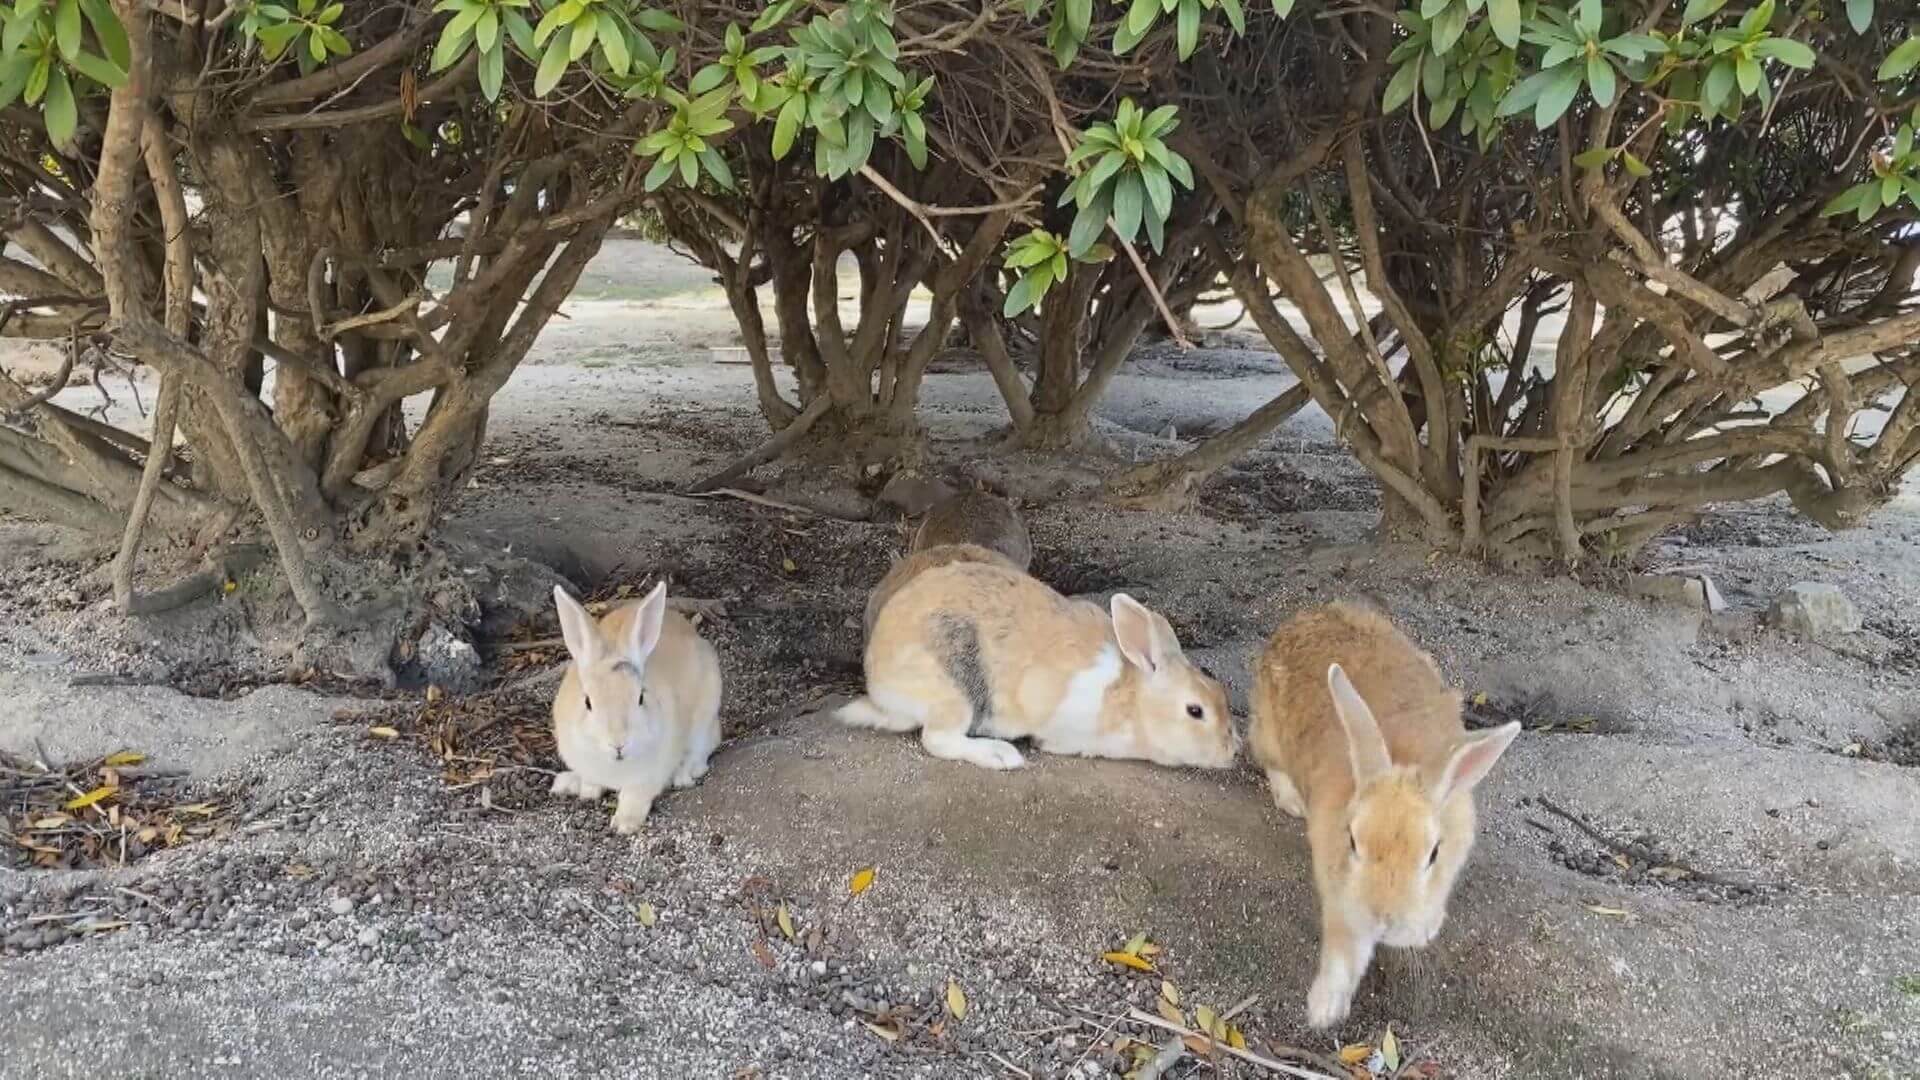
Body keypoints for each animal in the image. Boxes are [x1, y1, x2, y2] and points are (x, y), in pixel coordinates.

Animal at [552, 580, 721, 834]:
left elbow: (634, 797)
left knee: (703, 749)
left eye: (640, 697)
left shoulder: (647, 778)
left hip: (706, 712)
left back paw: (683, 775)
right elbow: (591, 781)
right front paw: (586, 791)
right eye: (588, 702)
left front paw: (624, 824)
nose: (618, 744)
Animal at [837, 549, 1228, 768]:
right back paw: (1001, 756)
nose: (1231, 750)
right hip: (955, 694)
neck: (1131, 698)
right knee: (938, 739)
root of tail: (880, 691)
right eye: (1195, 711)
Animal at [1251, 595, 1520, 1022]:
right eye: (1352, 842)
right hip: (1268, 731)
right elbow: (1343, 947)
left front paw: (1425, 928)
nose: (1383, 917)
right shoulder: (1341, 891)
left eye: (1433, 853)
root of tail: (1306, 616)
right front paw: (1324, 1010)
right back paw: (1291, 800)